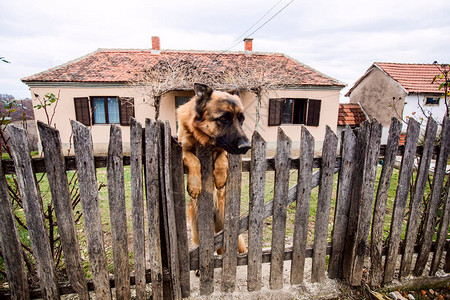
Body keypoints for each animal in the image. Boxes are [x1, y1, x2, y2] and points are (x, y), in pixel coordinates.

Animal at [178, 83, 251, 254]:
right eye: (224, 118)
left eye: (241, 119)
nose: (247, 147)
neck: (205, 140)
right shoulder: (181, 149)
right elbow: (194, 160)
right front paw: (195, 186)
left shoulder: (225, 150)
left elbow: (222, 158)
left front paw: (220, 178)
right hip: (198, 234)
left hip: (233, 233)